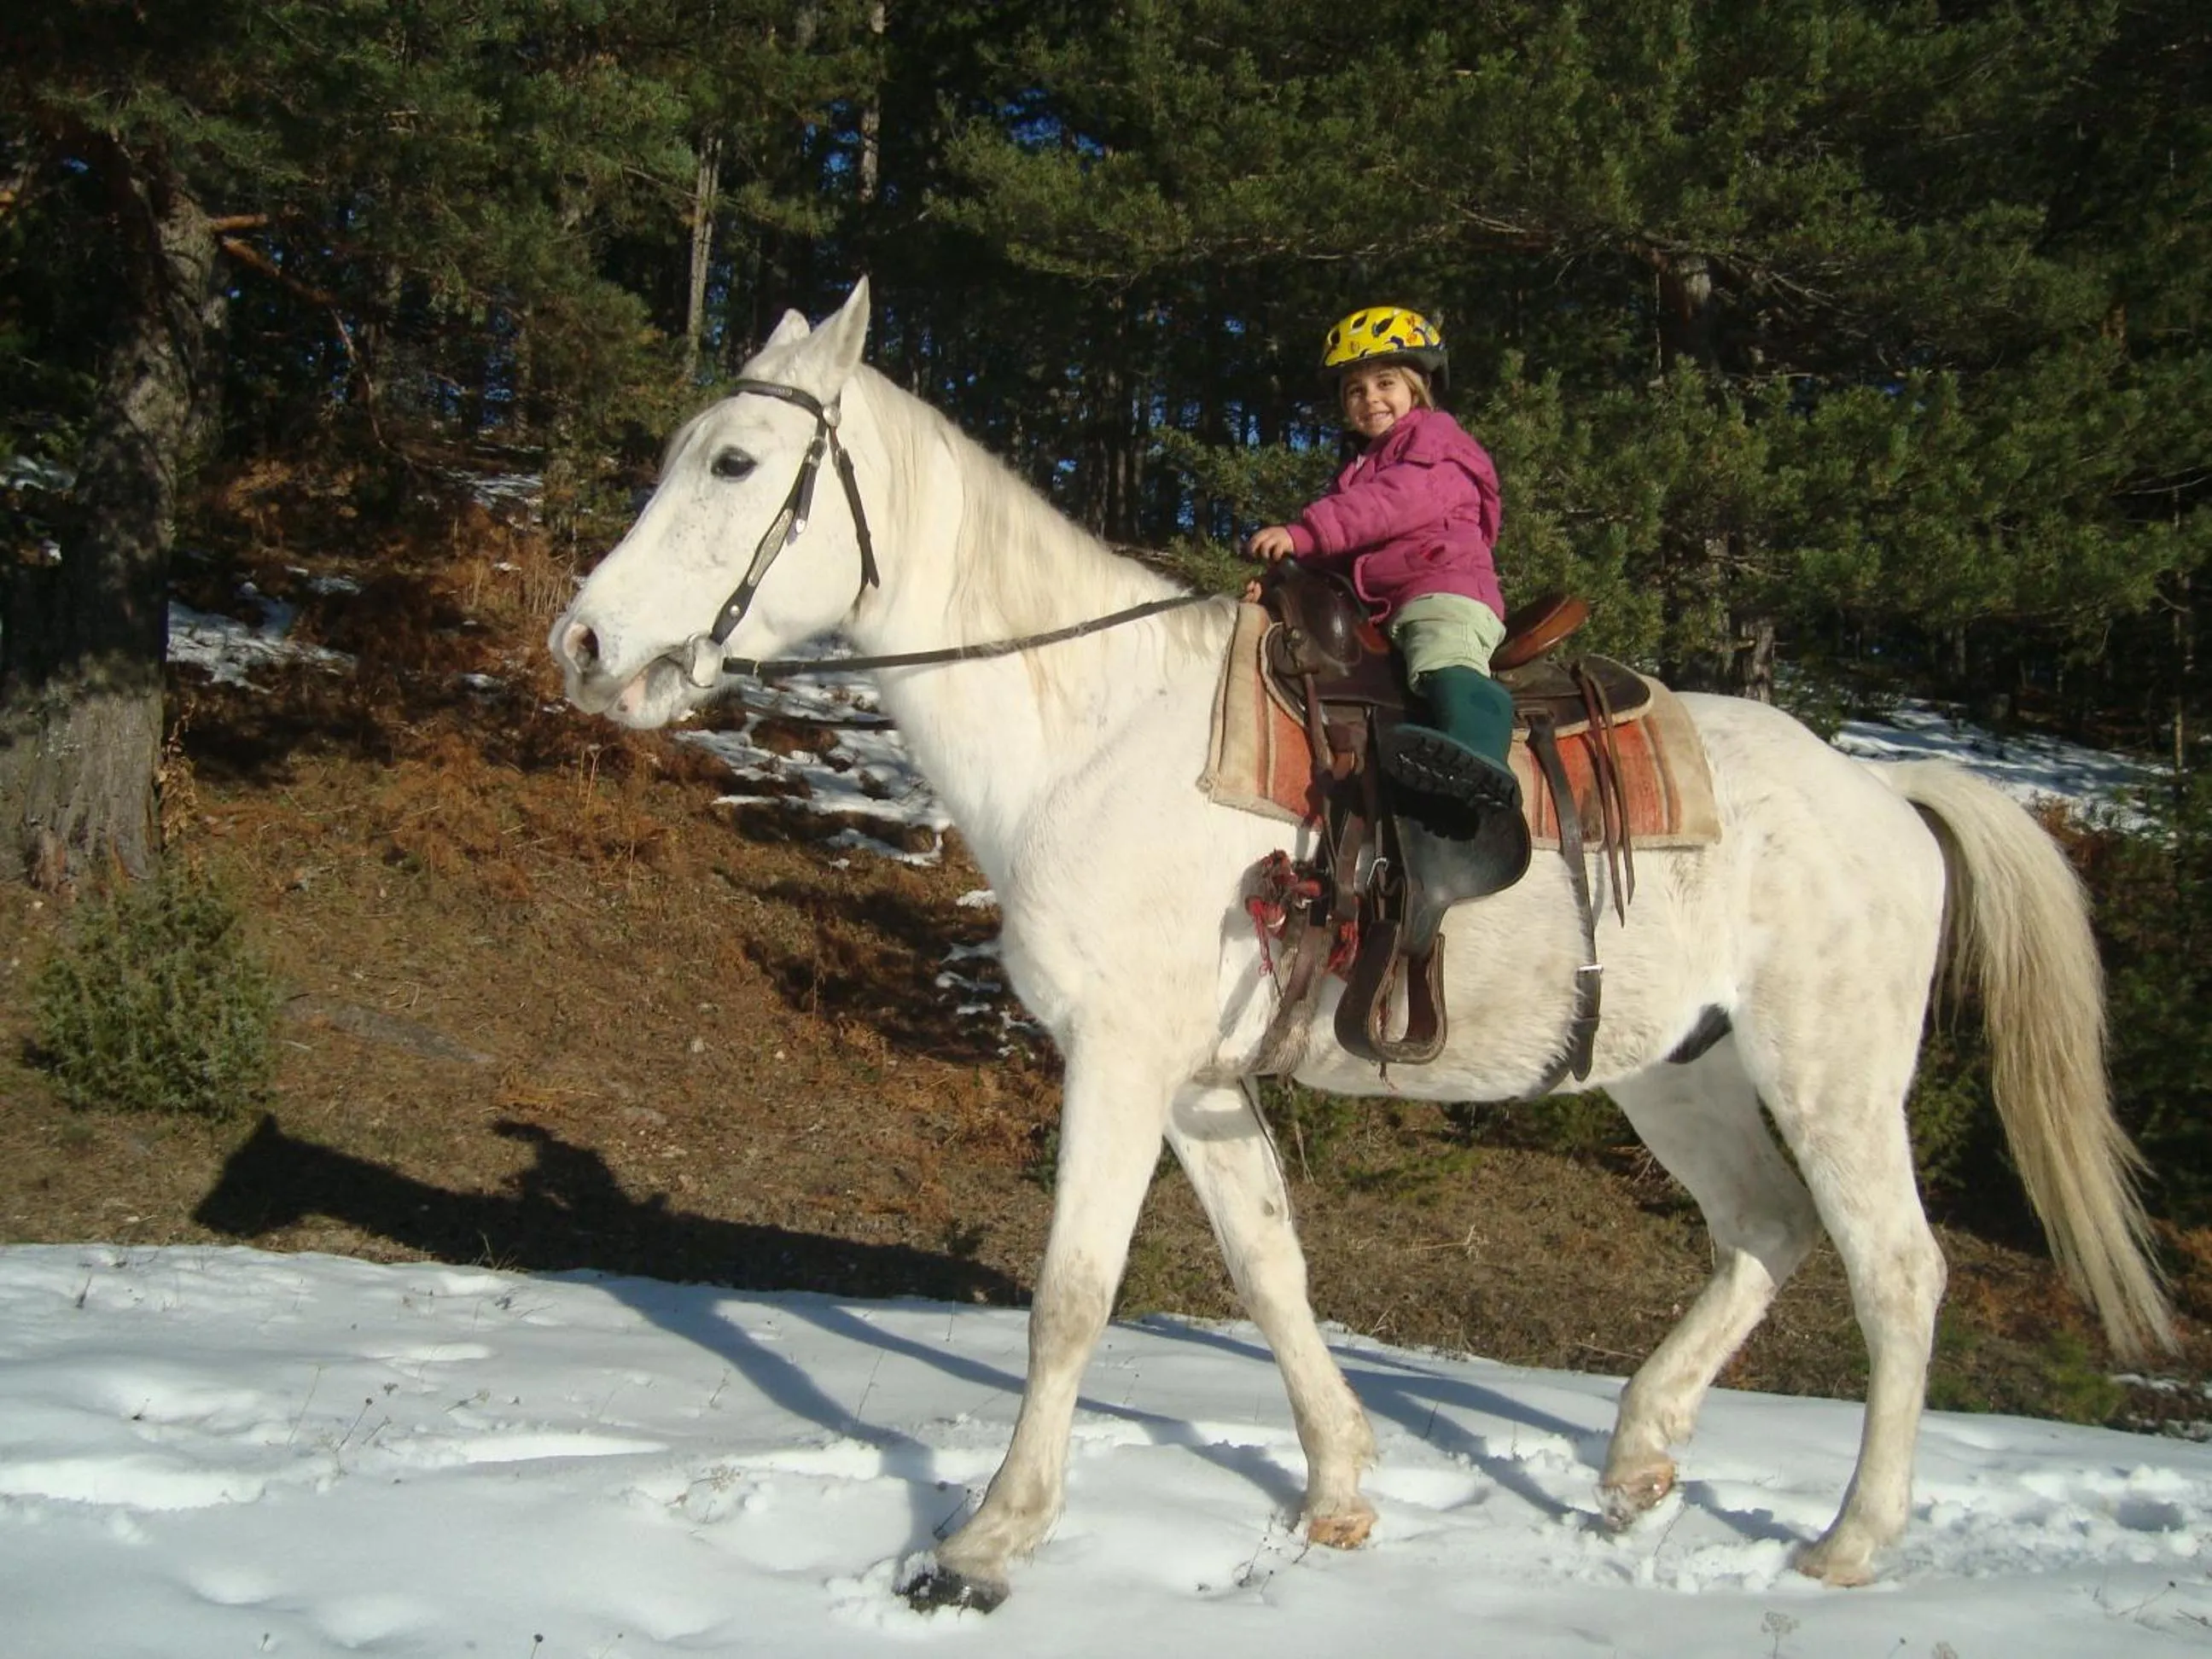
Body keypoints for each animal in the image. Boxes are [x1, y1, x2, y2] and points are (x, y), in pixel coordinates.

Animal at [549, 278, 2173, 1611]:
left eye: (735, 465)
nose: (584, 646)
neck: (1095, 730)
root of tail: (1888, 791)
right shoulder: (1200, 1083)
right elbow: (1272, 1267)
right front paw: (1337, 1491)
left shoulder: (1120, 1064)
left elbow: (1072, 1295)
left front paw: (987, 1544)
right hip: (1679, 1071)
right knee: (1764, 1232)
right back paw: (1639, 1457)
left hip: (1830, 1071)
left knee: (1894, 1269)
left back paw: (1847, 1540)